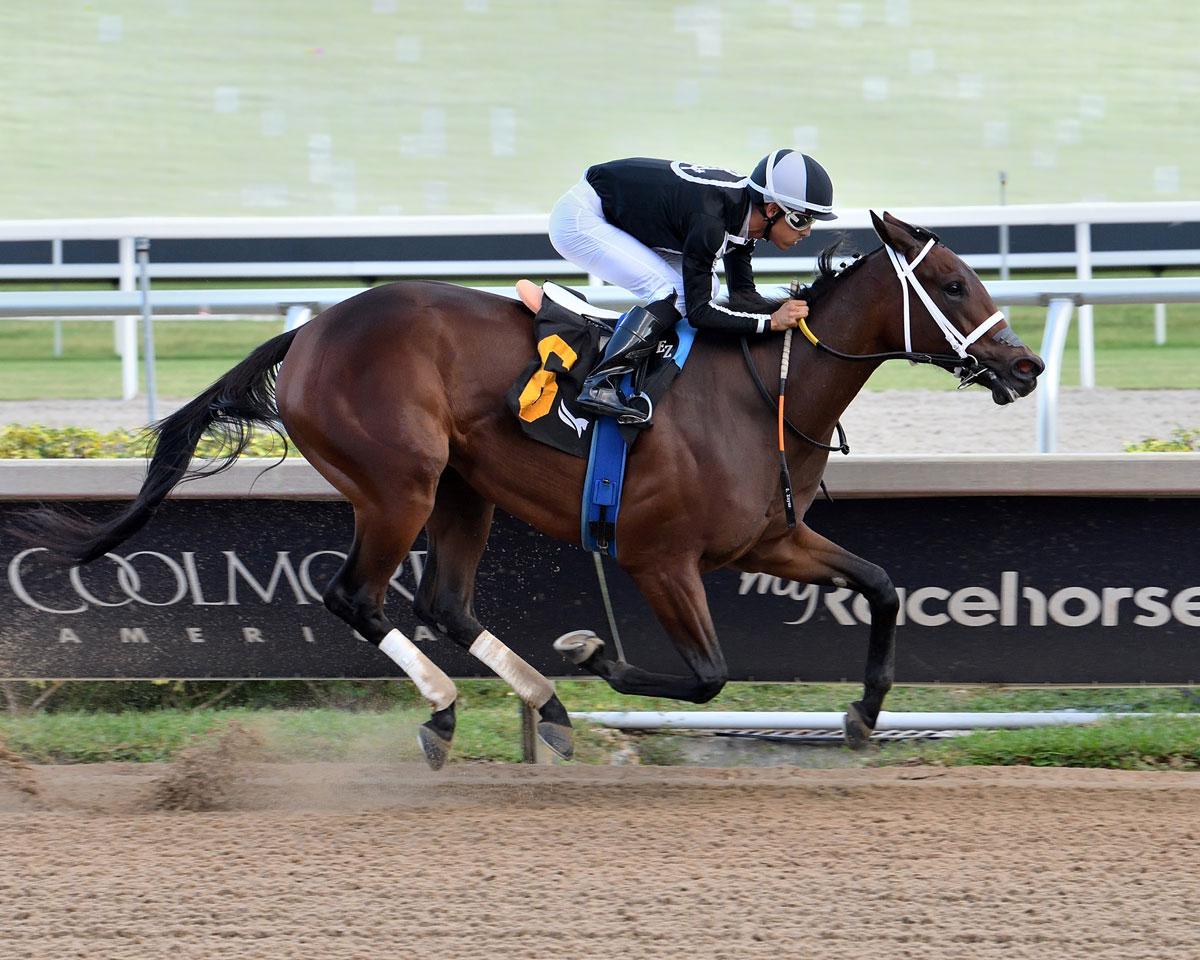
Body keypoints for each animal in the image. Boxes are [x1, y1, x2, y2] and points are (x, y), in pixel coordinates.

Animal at [21, 211, 1044, 769]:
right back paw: (450, 708)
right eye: (952, 281)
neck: (763, 393)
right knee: (356, 595)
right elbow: (707, 674)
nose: (1026, 365)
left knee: (442, 599)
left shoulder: (768, 540)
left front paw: (863, 716)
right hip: (398, 485)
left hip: (462, 491)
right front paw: (592, 650)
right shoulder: (658, 557)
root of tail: (308, 332)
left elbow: (881, 584)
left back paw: (540, 705)